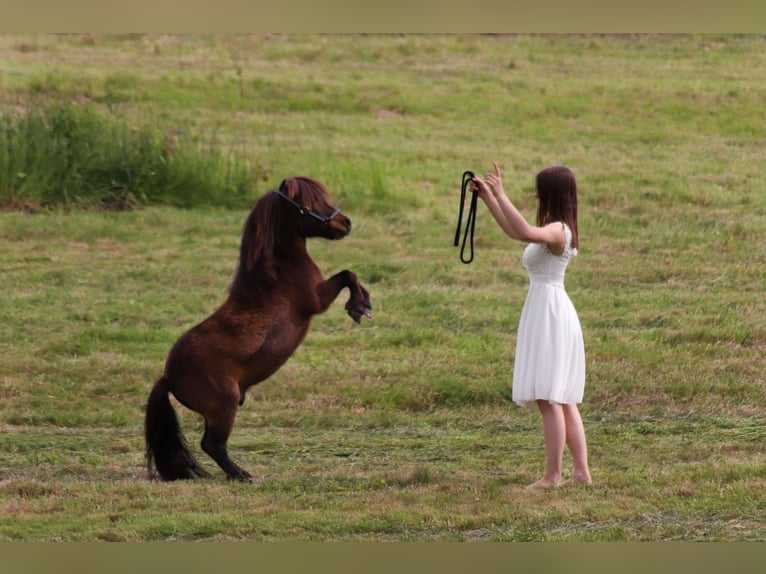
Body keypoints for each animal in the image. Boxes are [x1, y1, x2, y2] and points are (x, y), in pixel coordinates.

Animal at [146, 177, 374, 482]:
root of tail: (168, 377)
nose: (345, 223)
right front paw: (359, 306)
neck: (278, 271)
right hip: (224, 408)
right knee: (212, 444)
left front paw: (363, 304)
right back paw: (242, 475)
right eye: (309, 203)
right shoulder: (317, 300)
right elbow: (348, 274)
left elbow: (350, 275)